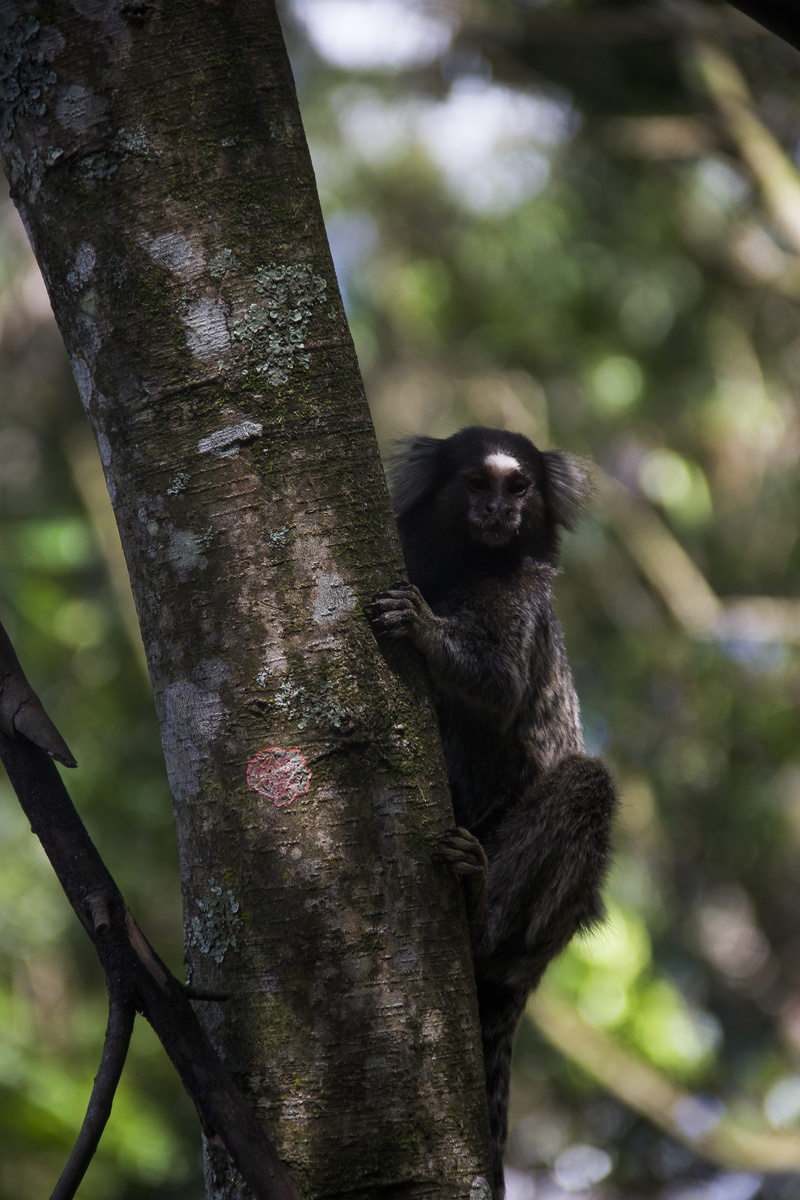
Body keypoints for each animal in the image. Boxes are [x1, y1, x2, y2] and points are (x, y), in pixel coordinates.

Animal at [369, 426, 617, 1198]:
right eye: (477, 483)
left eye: (520, 487)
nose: (499, 511)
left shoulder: (524, 593)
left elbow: (501, 681)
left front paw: (423, 629)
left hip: (542, 920)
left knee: (588, 785)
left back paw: (479, 908)